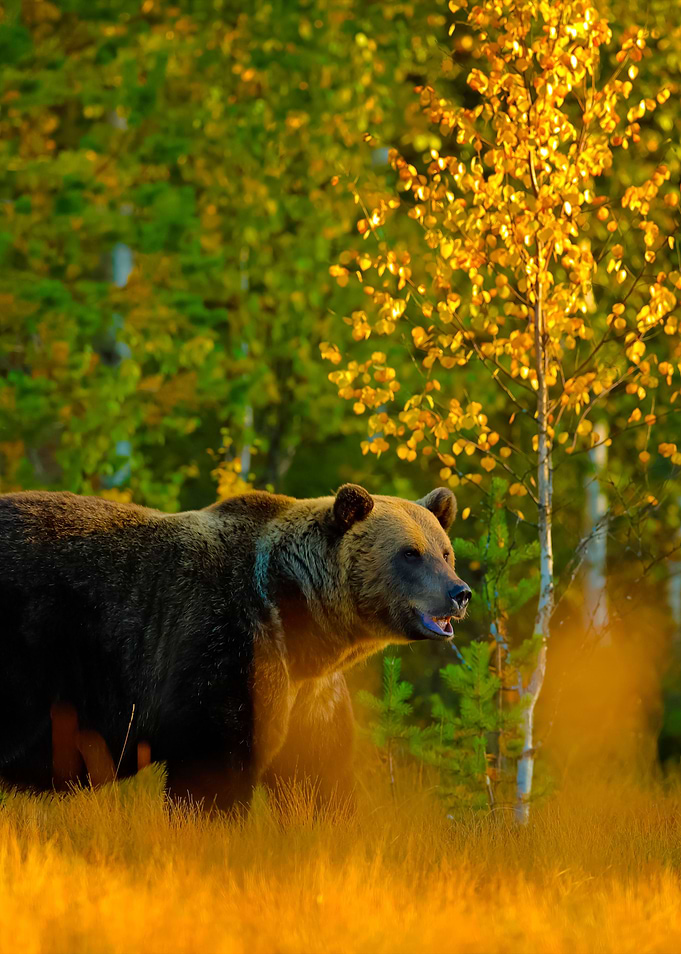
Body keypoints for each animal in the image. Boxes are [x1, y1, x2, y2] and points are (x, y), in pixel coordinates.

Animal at [0, 484, 470, 814]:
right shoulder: (225, 643)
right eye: (410, 553)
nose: (460, 593)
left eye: (445, 551)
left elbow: (317, 774)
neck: (298, 622)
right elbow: (214, 764)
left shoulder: (310, 693)